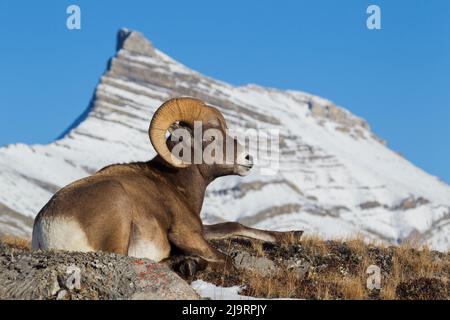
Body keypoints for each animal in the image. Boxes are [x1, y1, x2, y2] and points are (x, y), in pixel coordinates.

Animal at [32, 98, 302, 276]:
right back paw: (185, 264)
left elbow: (233, 226)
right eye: (210, 137)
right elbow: (226, 260)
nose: (248, 159)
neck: (175, 183)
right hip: (118, 209)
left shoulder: (202, 228)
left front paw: (292, 235)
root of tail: (48, 227)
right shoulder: (186, 233)